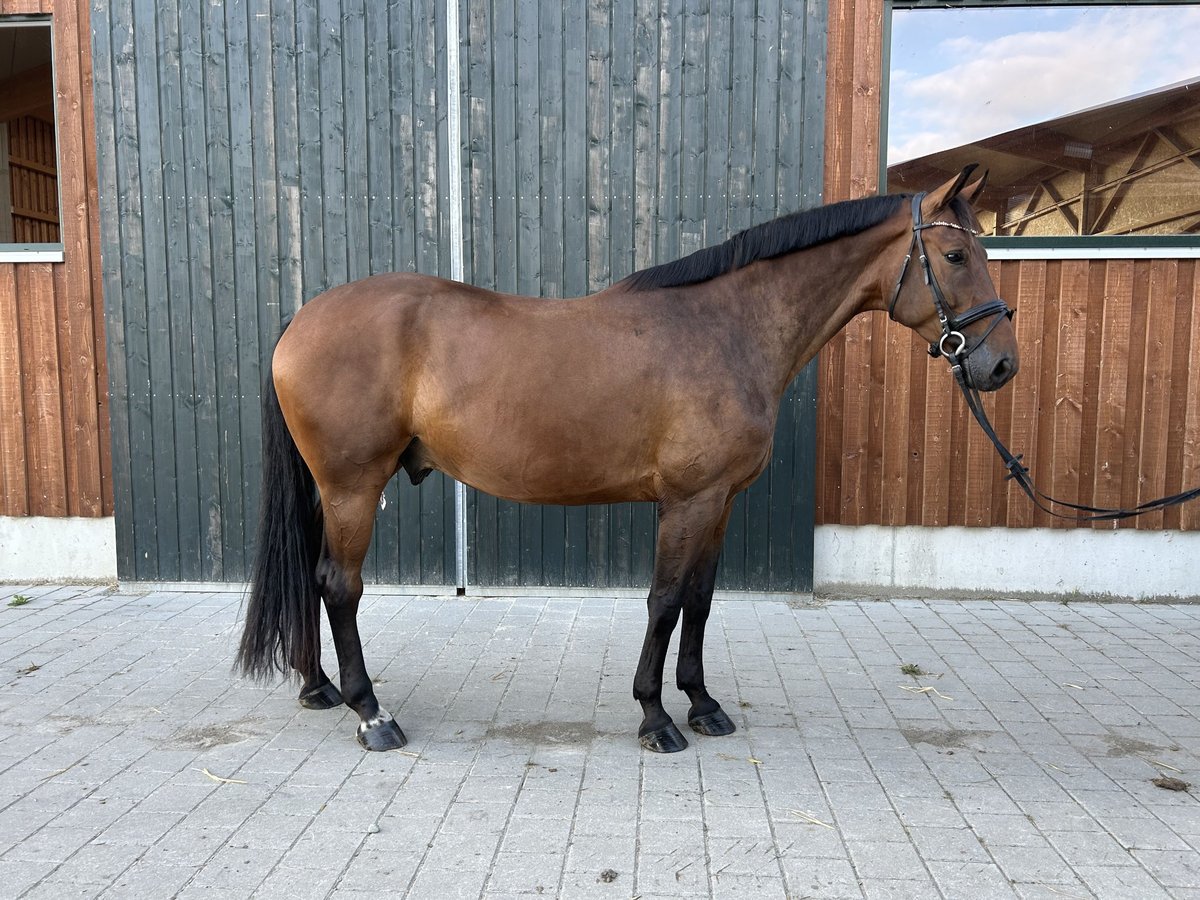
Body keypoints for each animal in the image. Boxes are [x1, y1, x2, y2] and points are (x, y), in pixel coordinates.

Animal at [231, 164, 1012, 753]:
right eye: (955, 256)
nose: (1001, 365)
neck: (725, 328)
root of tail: (303, 318)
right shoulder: (689, 500)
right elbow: (664, 601)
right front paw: (656, 717)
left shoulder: (719, 502)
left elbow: (698, 601)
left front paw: (703, 704)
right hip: (353, 485)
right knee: (339, 585)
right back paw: (372, 714)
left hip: (327, 489)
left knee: (312, 577)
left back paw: (319, 688)